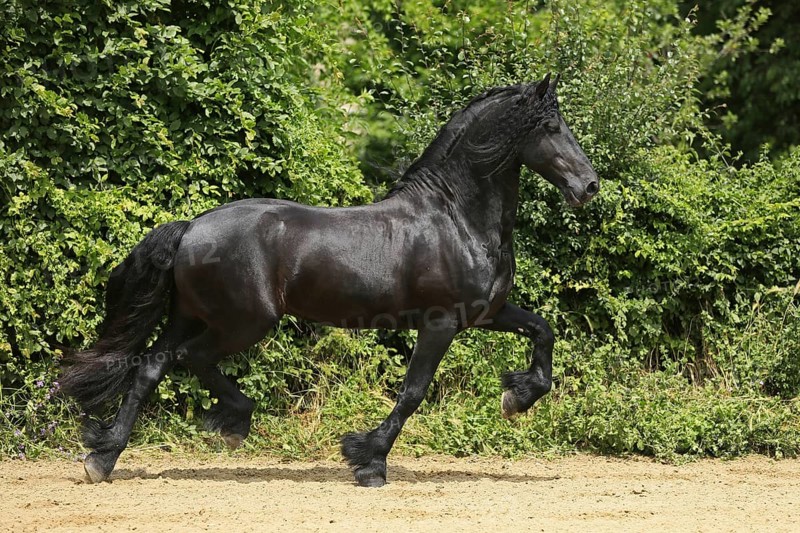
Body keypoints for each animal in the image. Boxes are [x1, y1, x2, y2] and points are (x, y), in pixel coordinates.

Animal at [60, 74, 598, 487]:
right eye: (551, 126)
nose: (589, 186)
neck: (455, 217)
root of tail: (192, 227)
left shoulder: (485, 313)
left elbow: (543, 331)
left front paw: (517, 398)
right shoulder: (440, 322)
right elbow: (413, 391)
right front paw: (368, 460)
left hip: (190, 315)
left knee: (152, 365)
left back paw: (103, 457)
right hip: (245, 322)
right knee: (190, 359)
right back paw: (232, 423)